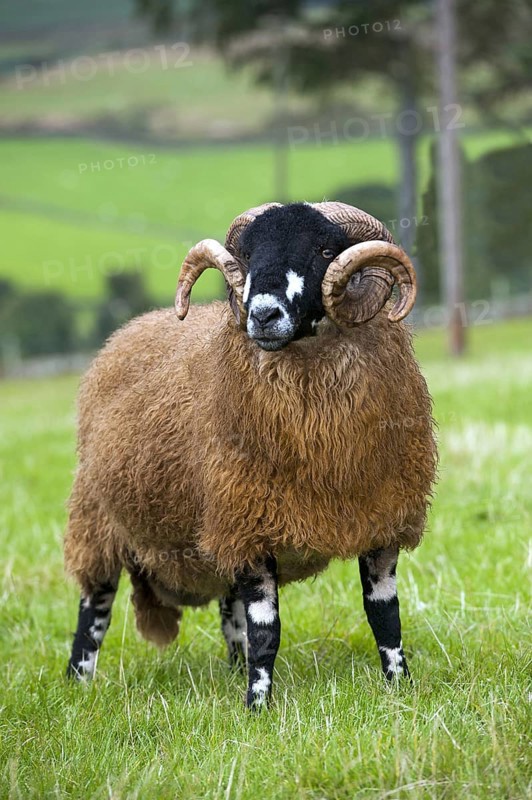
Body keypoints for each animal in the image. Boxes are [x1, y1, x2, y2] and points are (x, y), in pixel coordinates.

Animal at [64, 201, 437, 708]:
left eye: (324, 250)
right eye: (247, 253)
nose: (261, 314)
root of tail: (127, 330)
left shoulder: (382, 522)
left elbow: (385, 616)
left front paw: (400, 687)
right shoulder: (250, 526)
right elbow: (267, 630)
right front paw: (258, 706)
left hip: (212, 529)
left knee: (230, 614)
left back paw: (233, 670)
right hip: (99, 521)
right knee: (93, 612)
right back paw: (76, 685)